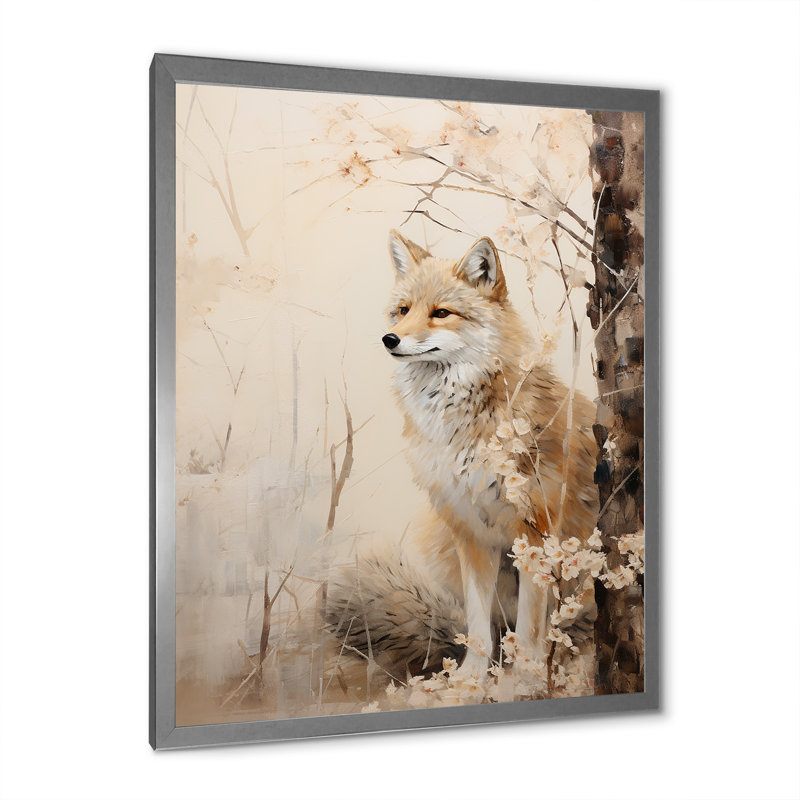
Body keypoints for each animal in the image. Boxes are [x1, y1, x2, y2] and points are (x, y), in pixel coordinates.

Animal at [326, 230, 598, 679]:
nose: (390, 339)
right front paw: (473, 676)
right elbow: (476, 621)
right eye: (403, 310)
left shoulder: (535, 533)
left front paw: (525, 676)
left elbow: (530, 624)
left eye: (441, 313)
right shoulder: (470, 531)